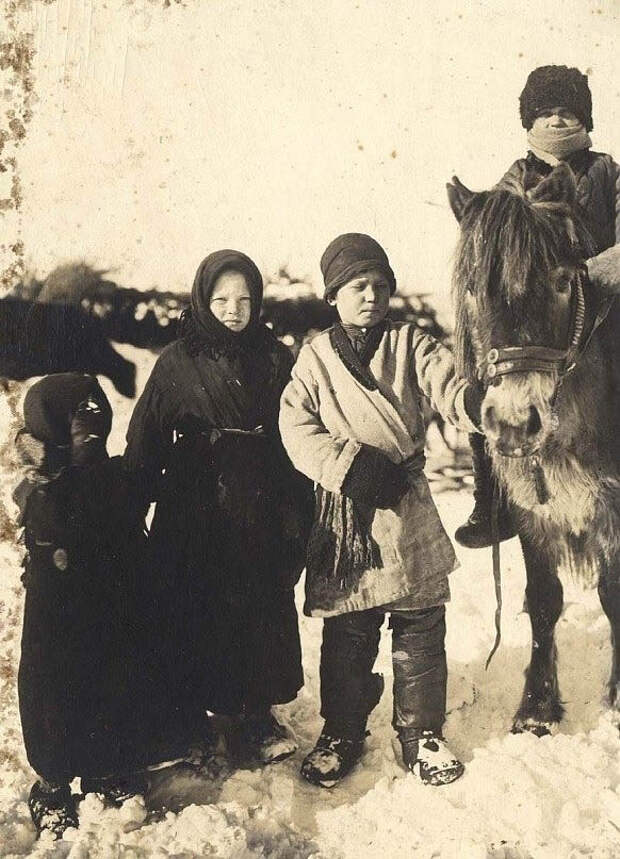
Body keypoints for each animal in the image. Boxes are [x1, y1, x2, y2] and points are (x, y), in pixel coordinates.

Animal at [448, 165, 620, 736]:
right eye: (473, 288)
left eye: (563, 281)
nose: (515, 425)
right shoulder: (530, 512)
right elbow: (544, 601)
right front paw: (537, 708)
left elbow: (615, 595)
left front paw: (616, 700)